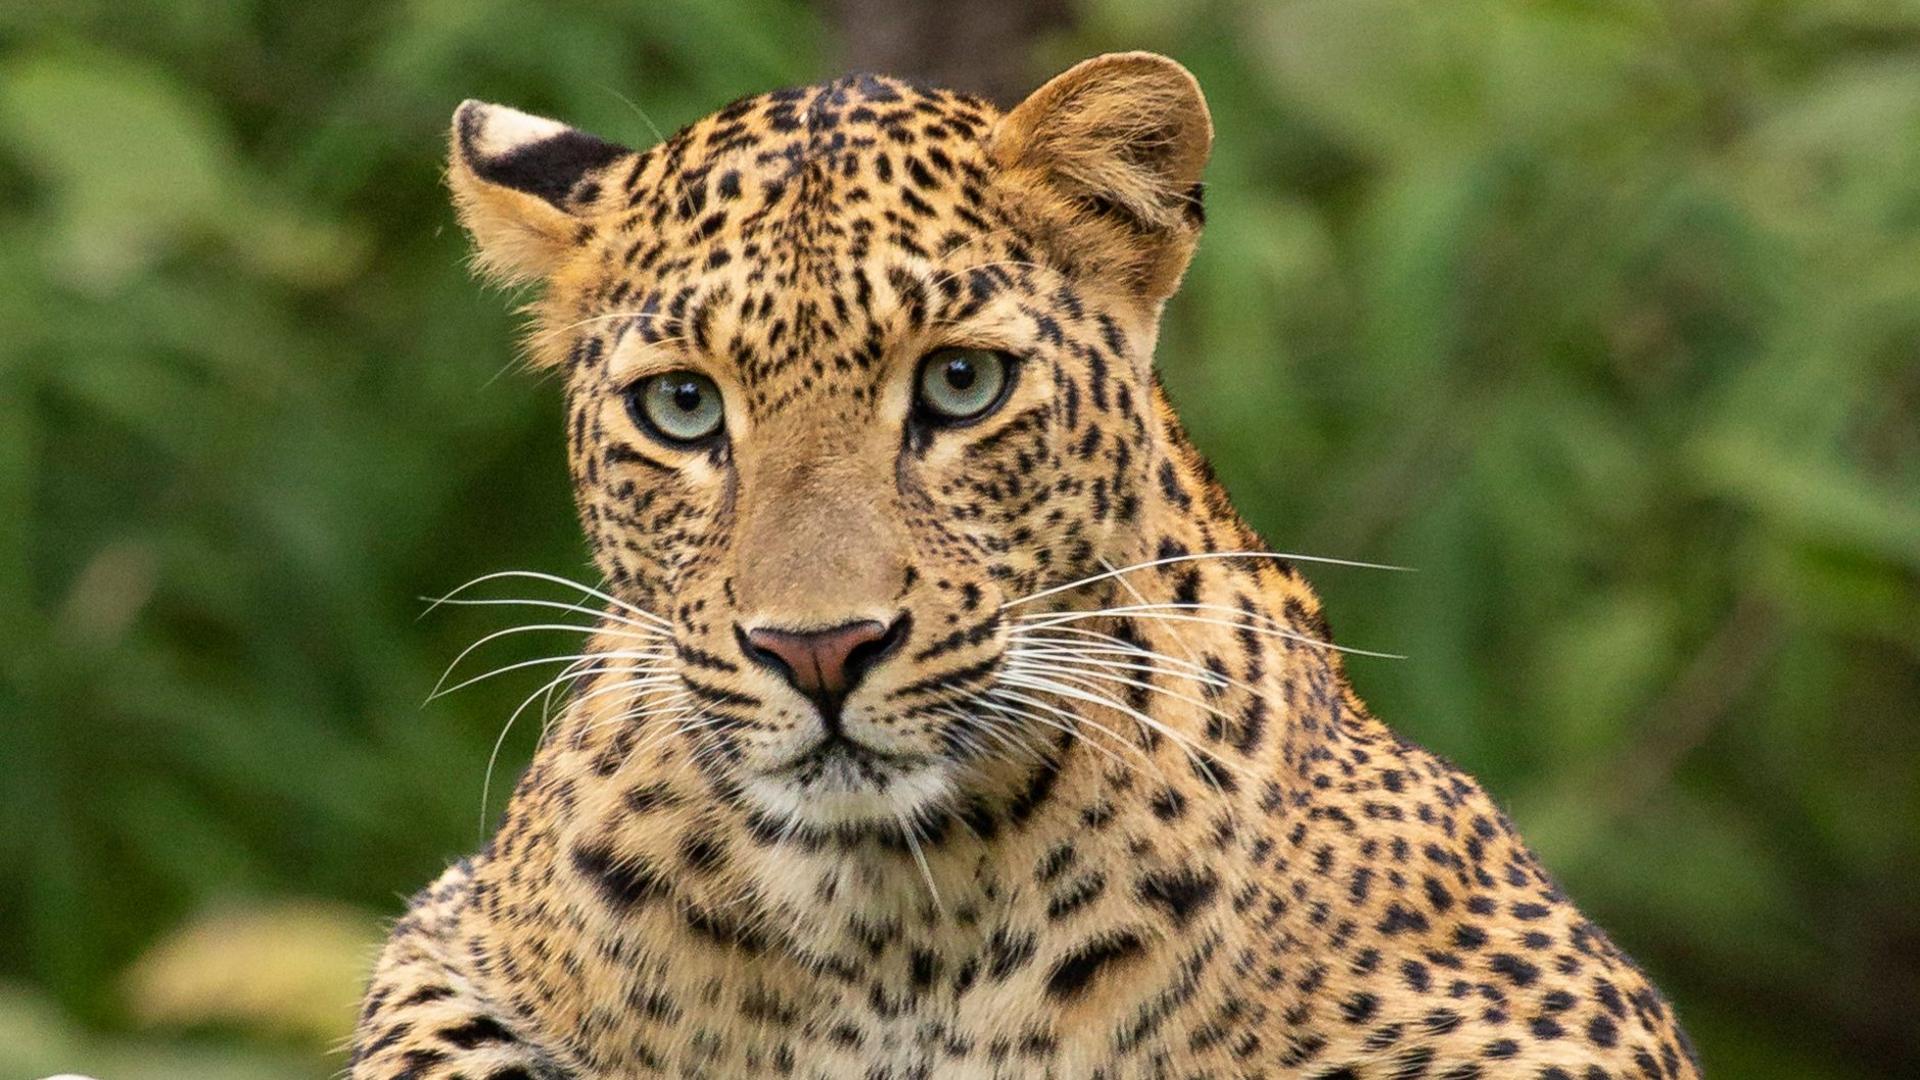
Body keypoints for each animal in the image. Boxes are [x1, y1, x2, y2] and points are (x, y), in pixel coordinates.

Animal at [345, 52, 1697, 1076]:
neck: (888, 929)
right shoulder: (452, 935)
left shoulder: (1552, 1012)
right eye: (681, 406)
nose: (817, 651)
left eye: (961, 382)